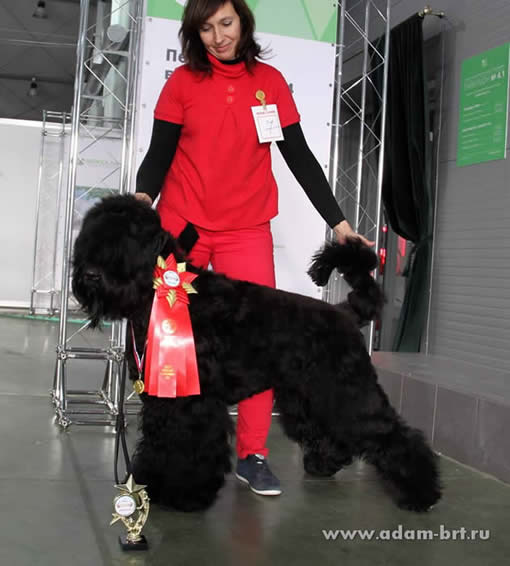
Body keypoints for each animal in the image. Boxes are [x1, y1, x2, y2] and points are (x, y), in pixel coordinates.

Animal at [72, 195, 441, 512]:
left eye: (128, 237)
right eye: (90, 234)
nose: (90, 274)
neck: (164, 294)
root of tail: (345, 312)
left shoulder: (195, 403)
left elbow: (190, 448)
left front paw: (186, 495)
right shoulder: (162, 400)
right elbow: (158, 442)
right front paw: (152, 484)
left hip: (349, 393)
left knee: (394, 434)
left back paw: (422, 492)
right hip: (305, 396)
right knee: (329, 431)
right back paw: (324, 462)